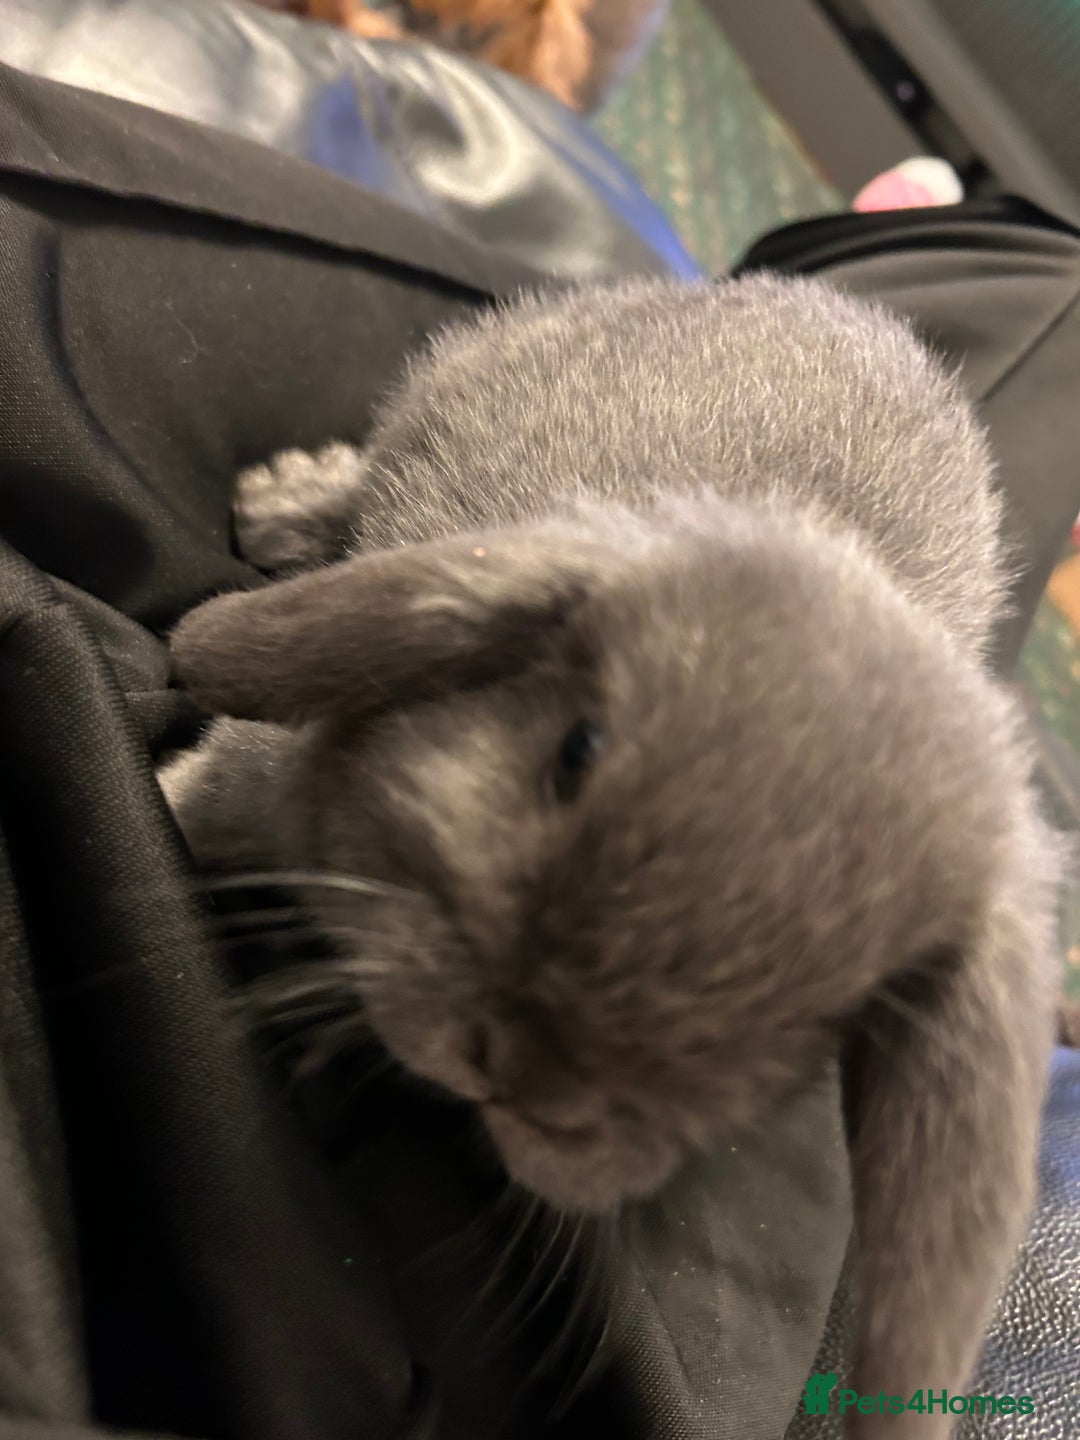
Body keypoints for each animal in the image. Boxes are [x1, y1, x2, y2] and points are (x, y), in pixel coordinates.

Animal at [160, 273, 1065, 1438]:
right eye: (575, 751)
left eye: (837, 1015)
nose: (511, 1073)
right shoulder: (265, 769)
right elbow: (202, 798)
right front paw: (155, 800)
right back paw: (281, 505)